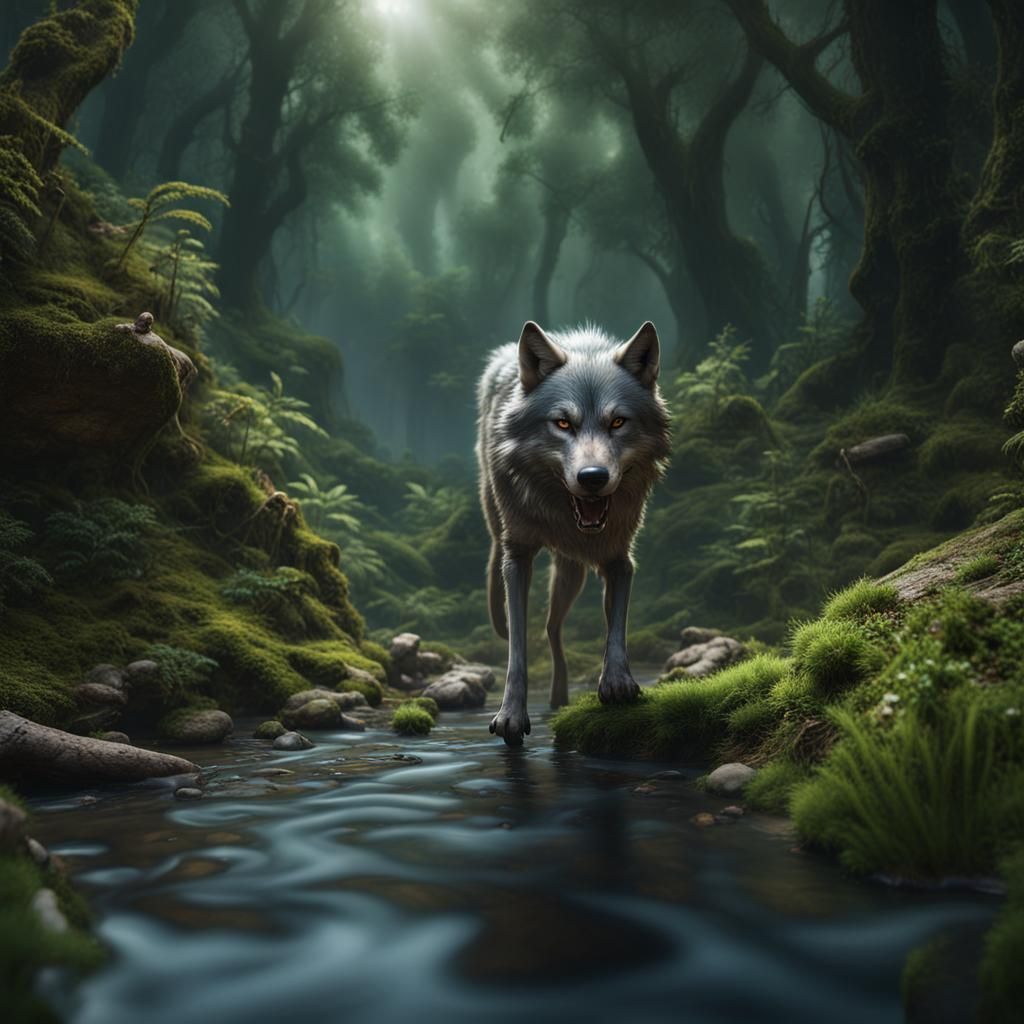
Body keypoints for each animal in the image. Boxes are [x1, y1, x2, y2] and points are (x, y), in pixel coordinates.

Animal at [477, 320, 671, 746]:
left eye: (618, 422)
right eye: (563, 423)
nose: (593, 478)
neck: (566, 520)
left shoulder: (620, 560)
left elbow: (616, 626)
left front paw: (617, 682)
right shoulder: (519, 557)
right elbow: (517, 646)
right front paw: (510, 715)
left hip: (572, 576)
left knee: (553, 628)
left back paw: (560, 699)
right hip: (501, 527)